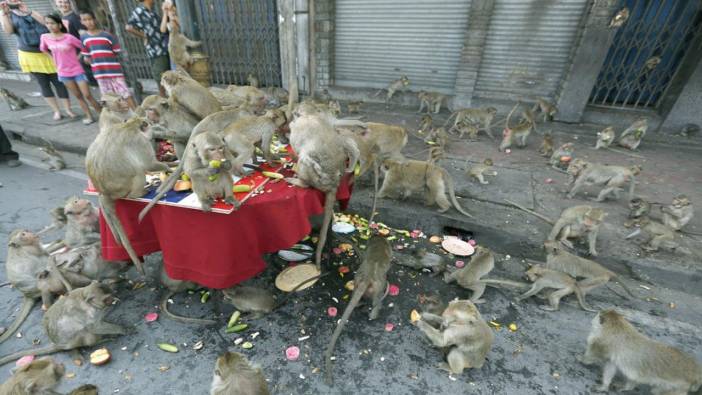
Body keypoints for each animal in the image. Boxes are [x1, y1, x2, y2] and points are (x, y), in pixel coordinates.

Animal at [0, 284, 128, 366]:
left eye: (110, 293)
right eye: (107, 299)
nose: (113, 298)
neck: (85, 298)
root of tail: (57, 344)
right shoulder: (88, 314)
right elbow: (94, 327)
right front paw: (122, 329)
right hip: (73, 341)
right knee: (84, 332)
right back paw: (98, 341)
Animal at [84, 116, 168, 274]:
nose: (153, 127)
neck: (129, 125)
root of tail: (106, 192)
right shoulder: (140, 141)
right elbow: (149, 164)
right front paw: (168, 167)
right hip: (124, 188)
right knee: (139, 171)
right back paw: (138, 193)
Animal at [326, 237, 396, 386]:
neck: (379, 242)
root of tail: (367, 277)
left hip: (357, 279)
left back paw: (359, 303)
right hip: (377, 285)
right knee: (377, 298)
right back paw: (374, 314)